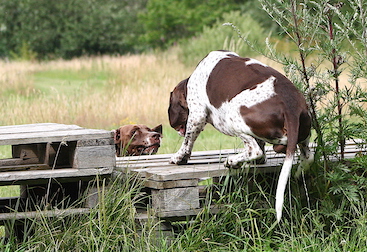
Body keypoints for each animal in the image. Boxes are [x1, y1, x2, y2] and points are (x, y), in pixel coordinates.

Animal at [168, 50, 314, 220]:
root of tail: (290, 105)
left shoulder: (197, 115)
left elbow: (187, 142)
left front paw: (179, 157)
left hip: (233, 115)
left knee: (255, 149)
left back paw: (233, 161)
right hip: (304, 131)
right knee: (307, 156)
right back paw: (296, 172)